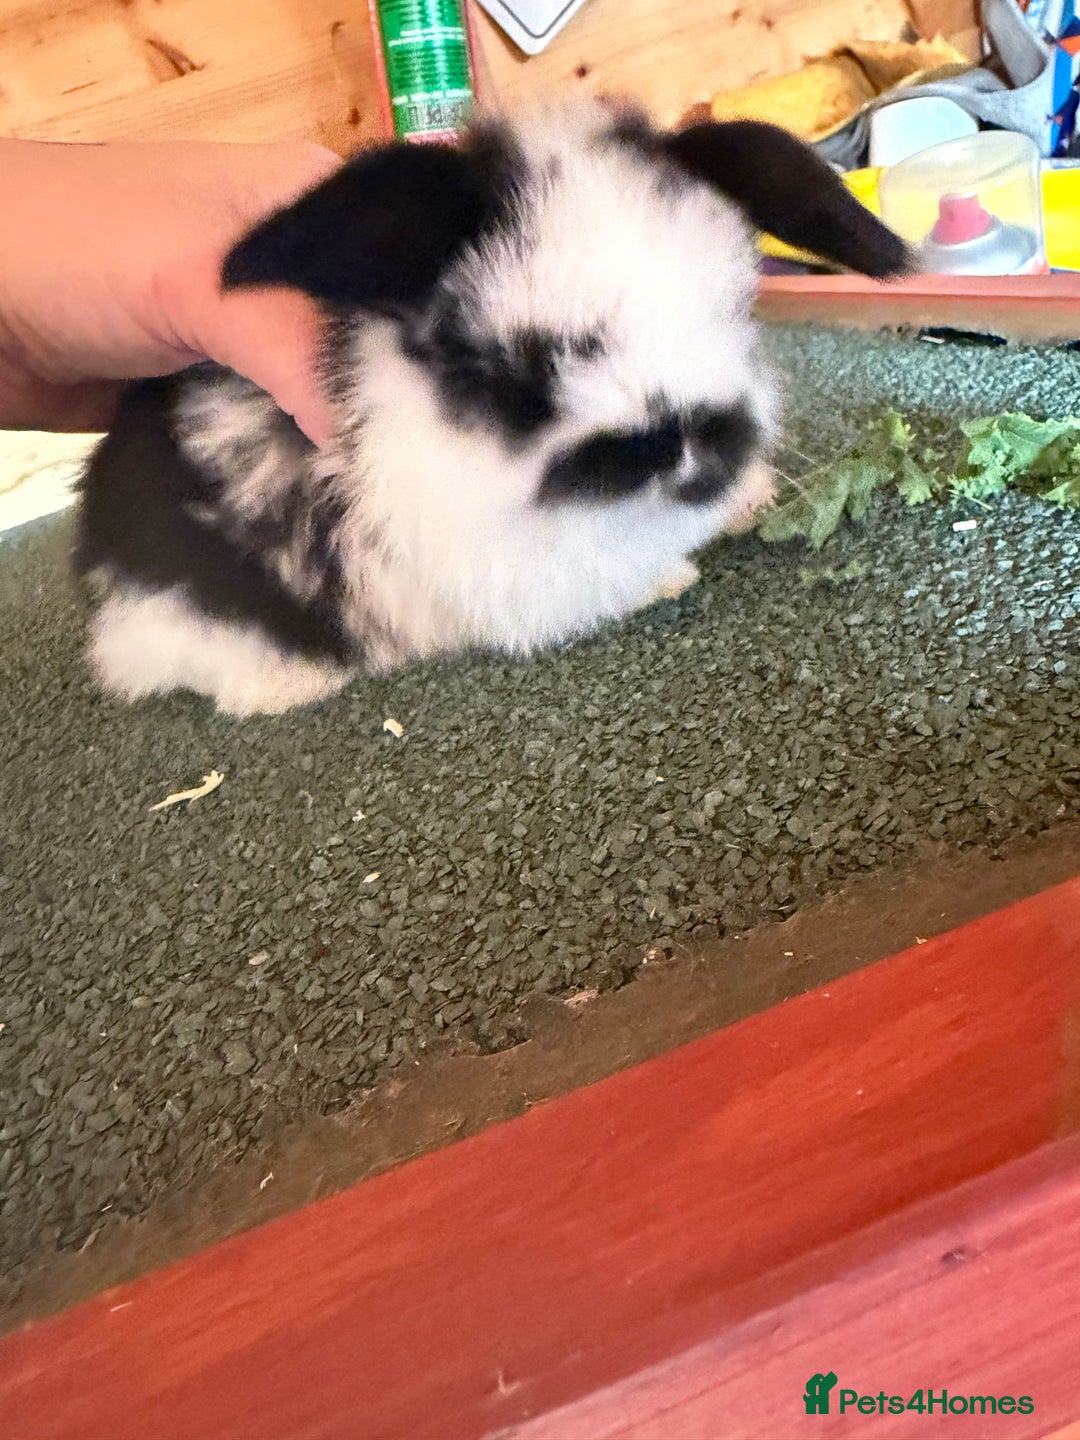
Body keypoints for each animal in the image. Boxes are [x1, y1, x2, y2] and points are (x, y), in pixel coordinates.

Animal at [75, 98, 909, 716]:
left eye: (738, 307)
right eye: (521, 372)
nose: (690, 444)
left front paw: (746, 501)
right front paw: (671, 577)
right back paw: (290, 686)